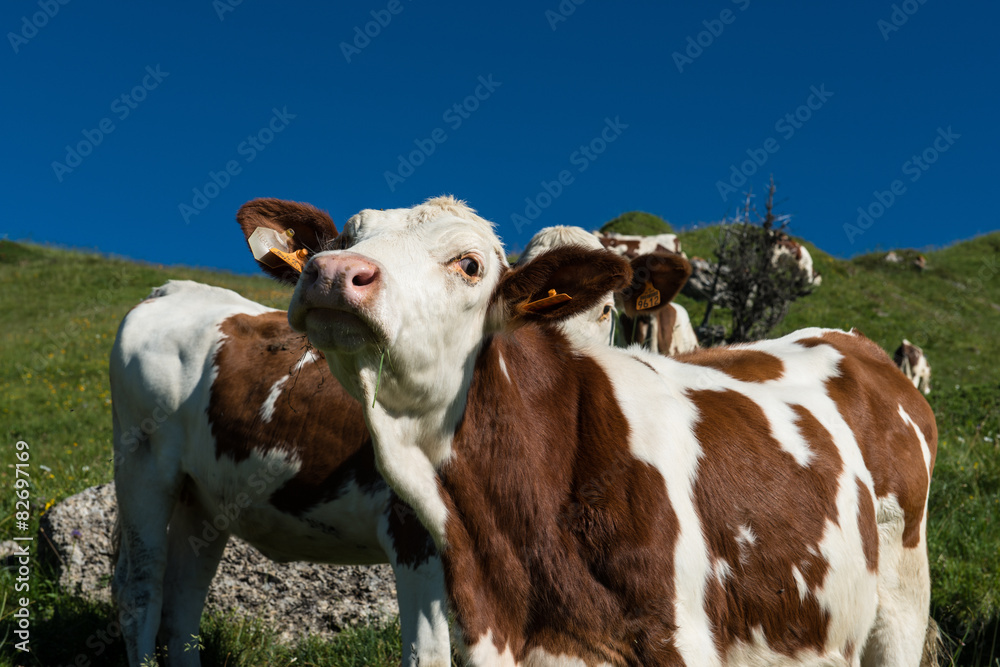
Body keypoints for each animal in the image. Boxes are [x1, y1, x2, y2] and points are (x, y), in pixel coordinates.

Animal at [109, 200, 450, 667]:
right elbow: (428, 654)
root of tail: (174, 290)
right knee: (141, 595)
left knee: (181, 606)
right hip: (141, 464)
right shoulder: (415, 535)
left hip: (202, 497)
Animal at [276, 196, 936, 667]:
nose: (333, 272)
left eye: (469, 264)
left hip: (901, 600)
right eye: (346, 238)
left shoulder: (681, 640)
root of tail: (850, 339)